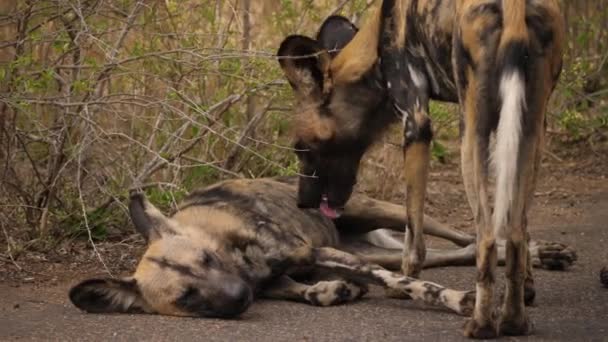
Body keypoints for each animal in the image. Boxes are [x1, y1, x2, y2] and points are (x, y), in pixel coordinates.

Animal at [67, 176, 576, 318]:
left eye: (208, 258)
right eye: (187, 297)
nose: (239, 297)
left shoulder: (314, 254)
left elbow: (411, 286)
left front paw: (457, 301)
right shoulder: (286, 278)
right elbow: (309, 291)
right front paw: (337, 292)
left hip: (386, 212)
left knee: (466, 237)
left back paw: (536, 257)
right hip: (374, 247)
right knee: (450, 253)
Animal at [280, 0, 564, 338]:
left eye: (301, 147)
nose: (301, 202)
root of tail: (514, 8)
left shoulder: (416, 124)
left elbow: (413, 235)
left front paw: (403, 286)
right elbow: (518, 228)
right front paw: (528, 291)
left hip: (471, 133)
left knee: (485, 237)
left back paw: (481, 325)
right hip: (529, 129)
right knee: (515, 233)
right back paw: (514, 321)